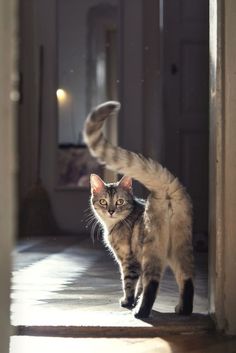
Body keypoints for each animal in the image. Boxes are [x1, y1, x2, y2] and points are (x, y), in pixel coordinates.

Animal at [84, 100, 195, 318]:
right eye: (103, 202)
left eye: (119, 202)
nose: (110, 210)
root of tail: (165, 188)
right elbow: (139, 286)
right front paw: (134, 300)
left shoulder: (129, 259)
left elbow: (129, 282)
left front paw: (128, 302)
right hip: (179, 247)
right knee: (187, 278)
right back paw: (183, 309)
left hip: (152, 250)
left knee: (153, 282)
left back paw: (141, 312)